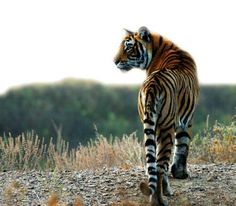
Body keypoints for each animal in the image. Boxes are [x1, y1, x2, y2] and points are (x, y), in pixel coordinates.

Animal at [113, 26, 198, 205]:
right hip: (166, 127)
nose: (115, 61)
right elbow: (183, 146)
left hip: (151, 124)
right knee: (159, 166)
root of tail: (153, 85)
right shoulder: (186, 120)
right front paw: (181, 174)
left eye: (128, 48)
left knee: (153, 164)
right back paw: (160, 199)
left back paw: (156, 198)